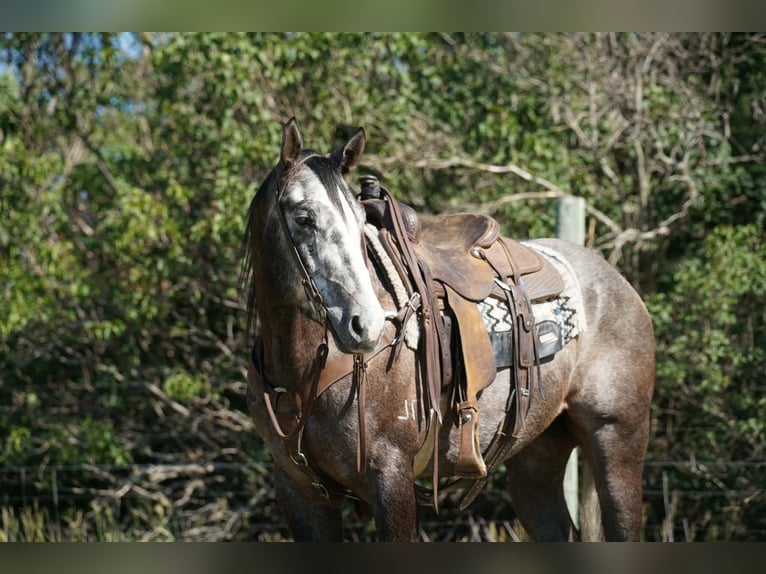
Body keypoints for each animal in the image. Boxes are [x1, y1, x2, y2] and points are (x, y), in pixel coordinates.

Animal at [241, 118, 655, 541]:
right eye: (303, 218)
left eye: (358, 225)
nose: (365, 325)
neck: (302, 374)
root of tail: (616, 281)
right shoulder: (301, 493)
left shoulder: (390, 475)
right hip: (537, 460)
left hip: (617, 442)